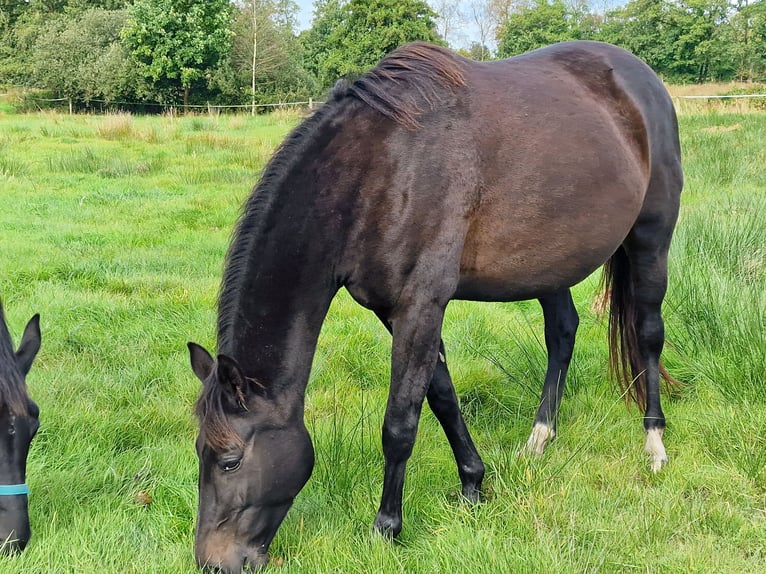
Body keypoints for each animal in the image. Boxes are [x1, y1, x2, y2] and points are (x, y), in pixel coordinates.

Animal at [187, 40, 682, 572]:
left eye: (231, 460)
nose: (213, 562)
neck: (377, 170)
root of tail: (642, 79)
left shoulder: (421, 305)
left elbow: (400, 424)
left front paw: (386, 529)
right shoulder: (396, 311)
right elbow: (442, 397)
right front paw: (473, 485)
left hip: (651, 239)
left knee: (648, 334)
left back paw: (654, 444)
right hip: (551, 264)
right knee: (562, 333)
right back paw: (539, 437)